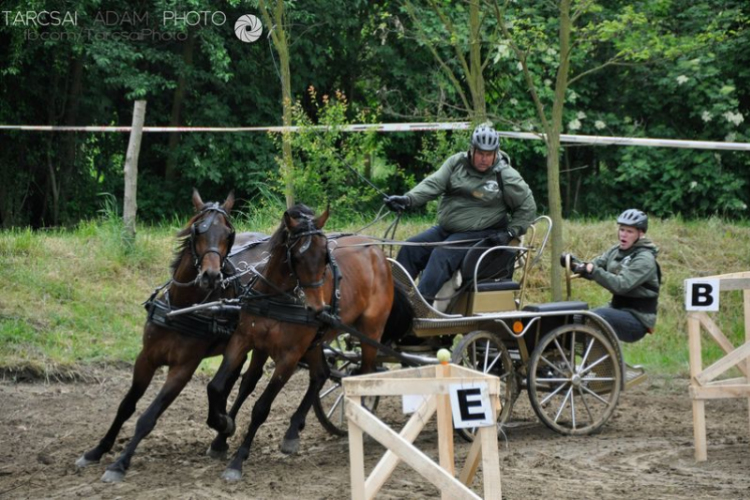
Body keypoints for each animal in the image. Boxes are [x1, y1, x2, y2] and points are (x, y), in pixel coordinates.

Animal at [74, 189, 262, 482]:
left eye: (228, 233)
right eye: (198, 230)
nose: (211, 275)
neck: (181, 306)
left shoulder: (183, 368)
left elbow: (148, 416)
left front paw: (119, 463)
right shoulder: (146, 358)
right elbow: (126, 405)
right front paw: (97, 450)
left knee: (246, 383)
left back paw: (223, 429)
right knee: (228, 382)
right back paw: (220, 429)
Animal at [207, 202, 418, 480]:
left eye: (325, 258)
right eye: (296, 257)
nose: (317, 309)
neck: (277, 295)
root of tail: (378, 253)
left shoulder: (289, 355)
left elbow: (261, 407)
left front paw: (237, 460)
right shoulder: (247, 340)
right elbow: (224, 386)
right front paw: (222, 431)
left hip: (370, 333)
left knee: (363, 373)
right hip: (316, 341)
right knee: (319, 374)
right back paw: (292, 432)